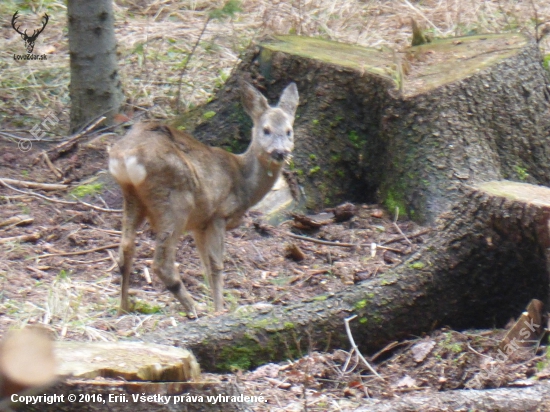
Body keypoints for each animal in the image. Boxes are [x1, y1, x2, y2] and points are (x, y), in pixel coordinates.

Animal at [107, 82, 298, 318]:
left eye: (289, 131)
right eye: (266, 130)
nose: (280, 152)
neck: (242, 180)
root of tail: (127, 155)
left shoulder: (199, 223)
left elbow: (204, 263)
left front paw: (214, 303)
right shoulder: (218, 214)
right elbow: (216, 264)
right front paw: (219, 309)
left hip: (132, 196)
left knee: (125, 249)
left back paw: (124, 307)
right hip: (175, 200)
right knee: (162, 263)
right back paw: (193, 309)